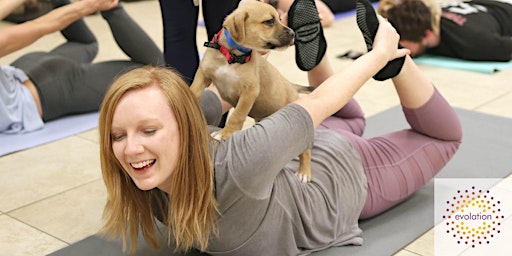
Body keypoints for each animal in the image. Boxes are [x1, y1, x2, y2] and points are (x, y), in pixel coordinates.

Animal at [190, 0, 312, 182]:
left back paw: (304, 171)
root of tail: (292, 88)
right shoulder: (202, 76)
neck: (232, 56)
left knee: (306, 150)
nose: (293, 34)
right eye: (269, 21)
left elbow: (237, 115)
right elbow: (193, 93)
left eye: (279, 18)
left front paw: (225, 133)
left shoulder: (250, 91)